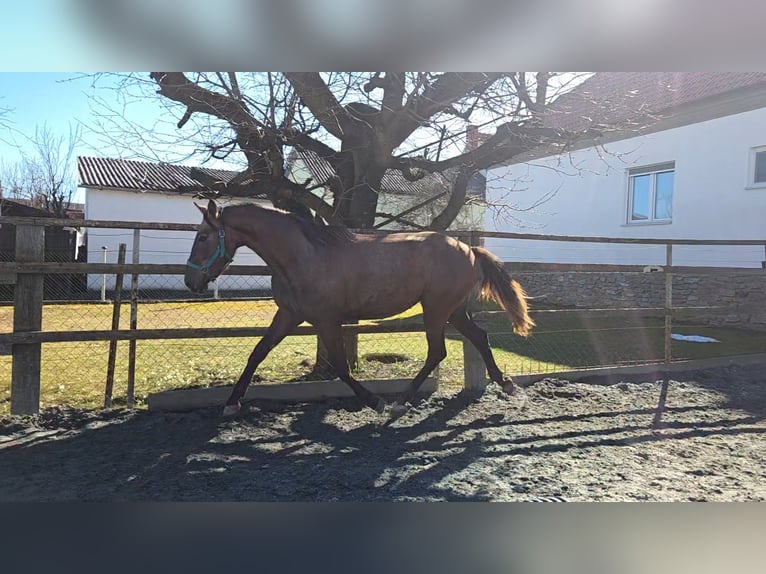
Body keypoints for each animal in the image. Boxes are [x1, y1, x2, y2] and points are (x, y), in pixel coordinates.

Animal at [185, 199, 535, 417]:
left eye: (202, 236)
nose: (191, 281)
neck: (303, 256)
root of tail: (469, 248)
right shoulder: (289, 315)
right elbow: (257, 352)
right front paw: (231, 403)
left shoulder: (327, 320)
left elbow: (342, 367)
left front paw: (375, 401)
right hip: (454, 310)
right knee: (479, 337)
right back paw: (506, 385)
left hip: (437, 309)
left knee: (438, 351)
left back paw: (400, 402)